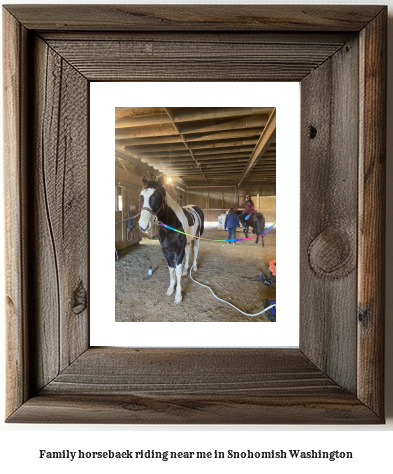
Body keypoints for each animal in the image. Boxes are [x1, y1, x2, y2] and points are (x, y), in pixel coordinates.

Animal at [138, 175, 204, 304]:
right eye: (141, 196)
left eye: (156, 196)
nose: (143, 225)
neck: (172, 224)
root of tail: (195, 207)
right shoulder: (166, 250)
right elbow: (171, 270)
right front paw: (170, 289)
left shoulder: (178, 250)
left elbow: (177, 271)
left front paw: (178, 296)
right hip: (187, 243)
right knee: (188, 253)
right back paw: (186, 271)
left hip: (197, 238)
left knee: (196, 251)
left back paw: (194, 268)